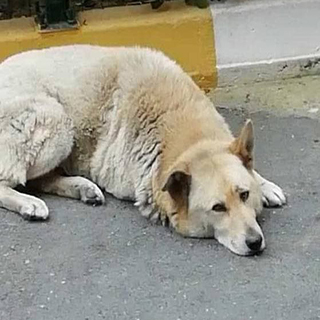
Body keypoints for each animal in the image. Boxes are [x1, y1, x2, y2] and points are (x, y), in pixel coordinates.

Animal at [0, 44, 284, 255]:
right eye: (217, 208)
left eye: (244, 195)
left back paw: (82, 188)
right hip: (56, 122)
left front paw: (265, 186)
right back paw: (28, 203)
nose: (255, 243)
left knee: (39, 180)